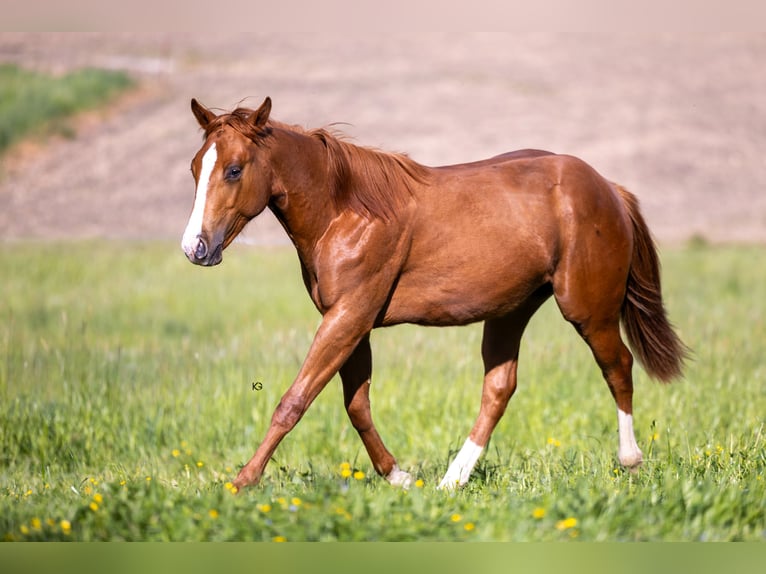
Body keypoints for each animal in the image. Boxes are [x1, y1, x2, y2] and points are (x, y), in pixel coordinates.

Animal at [181, 97, 688, 491]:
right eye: (194, 167)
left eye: (233, 169)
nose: (195, 248)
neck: (345, 210)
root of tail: (609, 189)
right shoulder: (351, 321)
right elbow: (356, 405)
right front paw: (399, 477)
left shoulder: (349, 316)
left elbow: (295, 401)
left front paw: (242, 482)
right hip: (511, 310)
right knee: (500, 387)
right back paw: (452, 480)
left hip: (588, 309)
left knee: (618, 367)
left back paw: (630, 461)